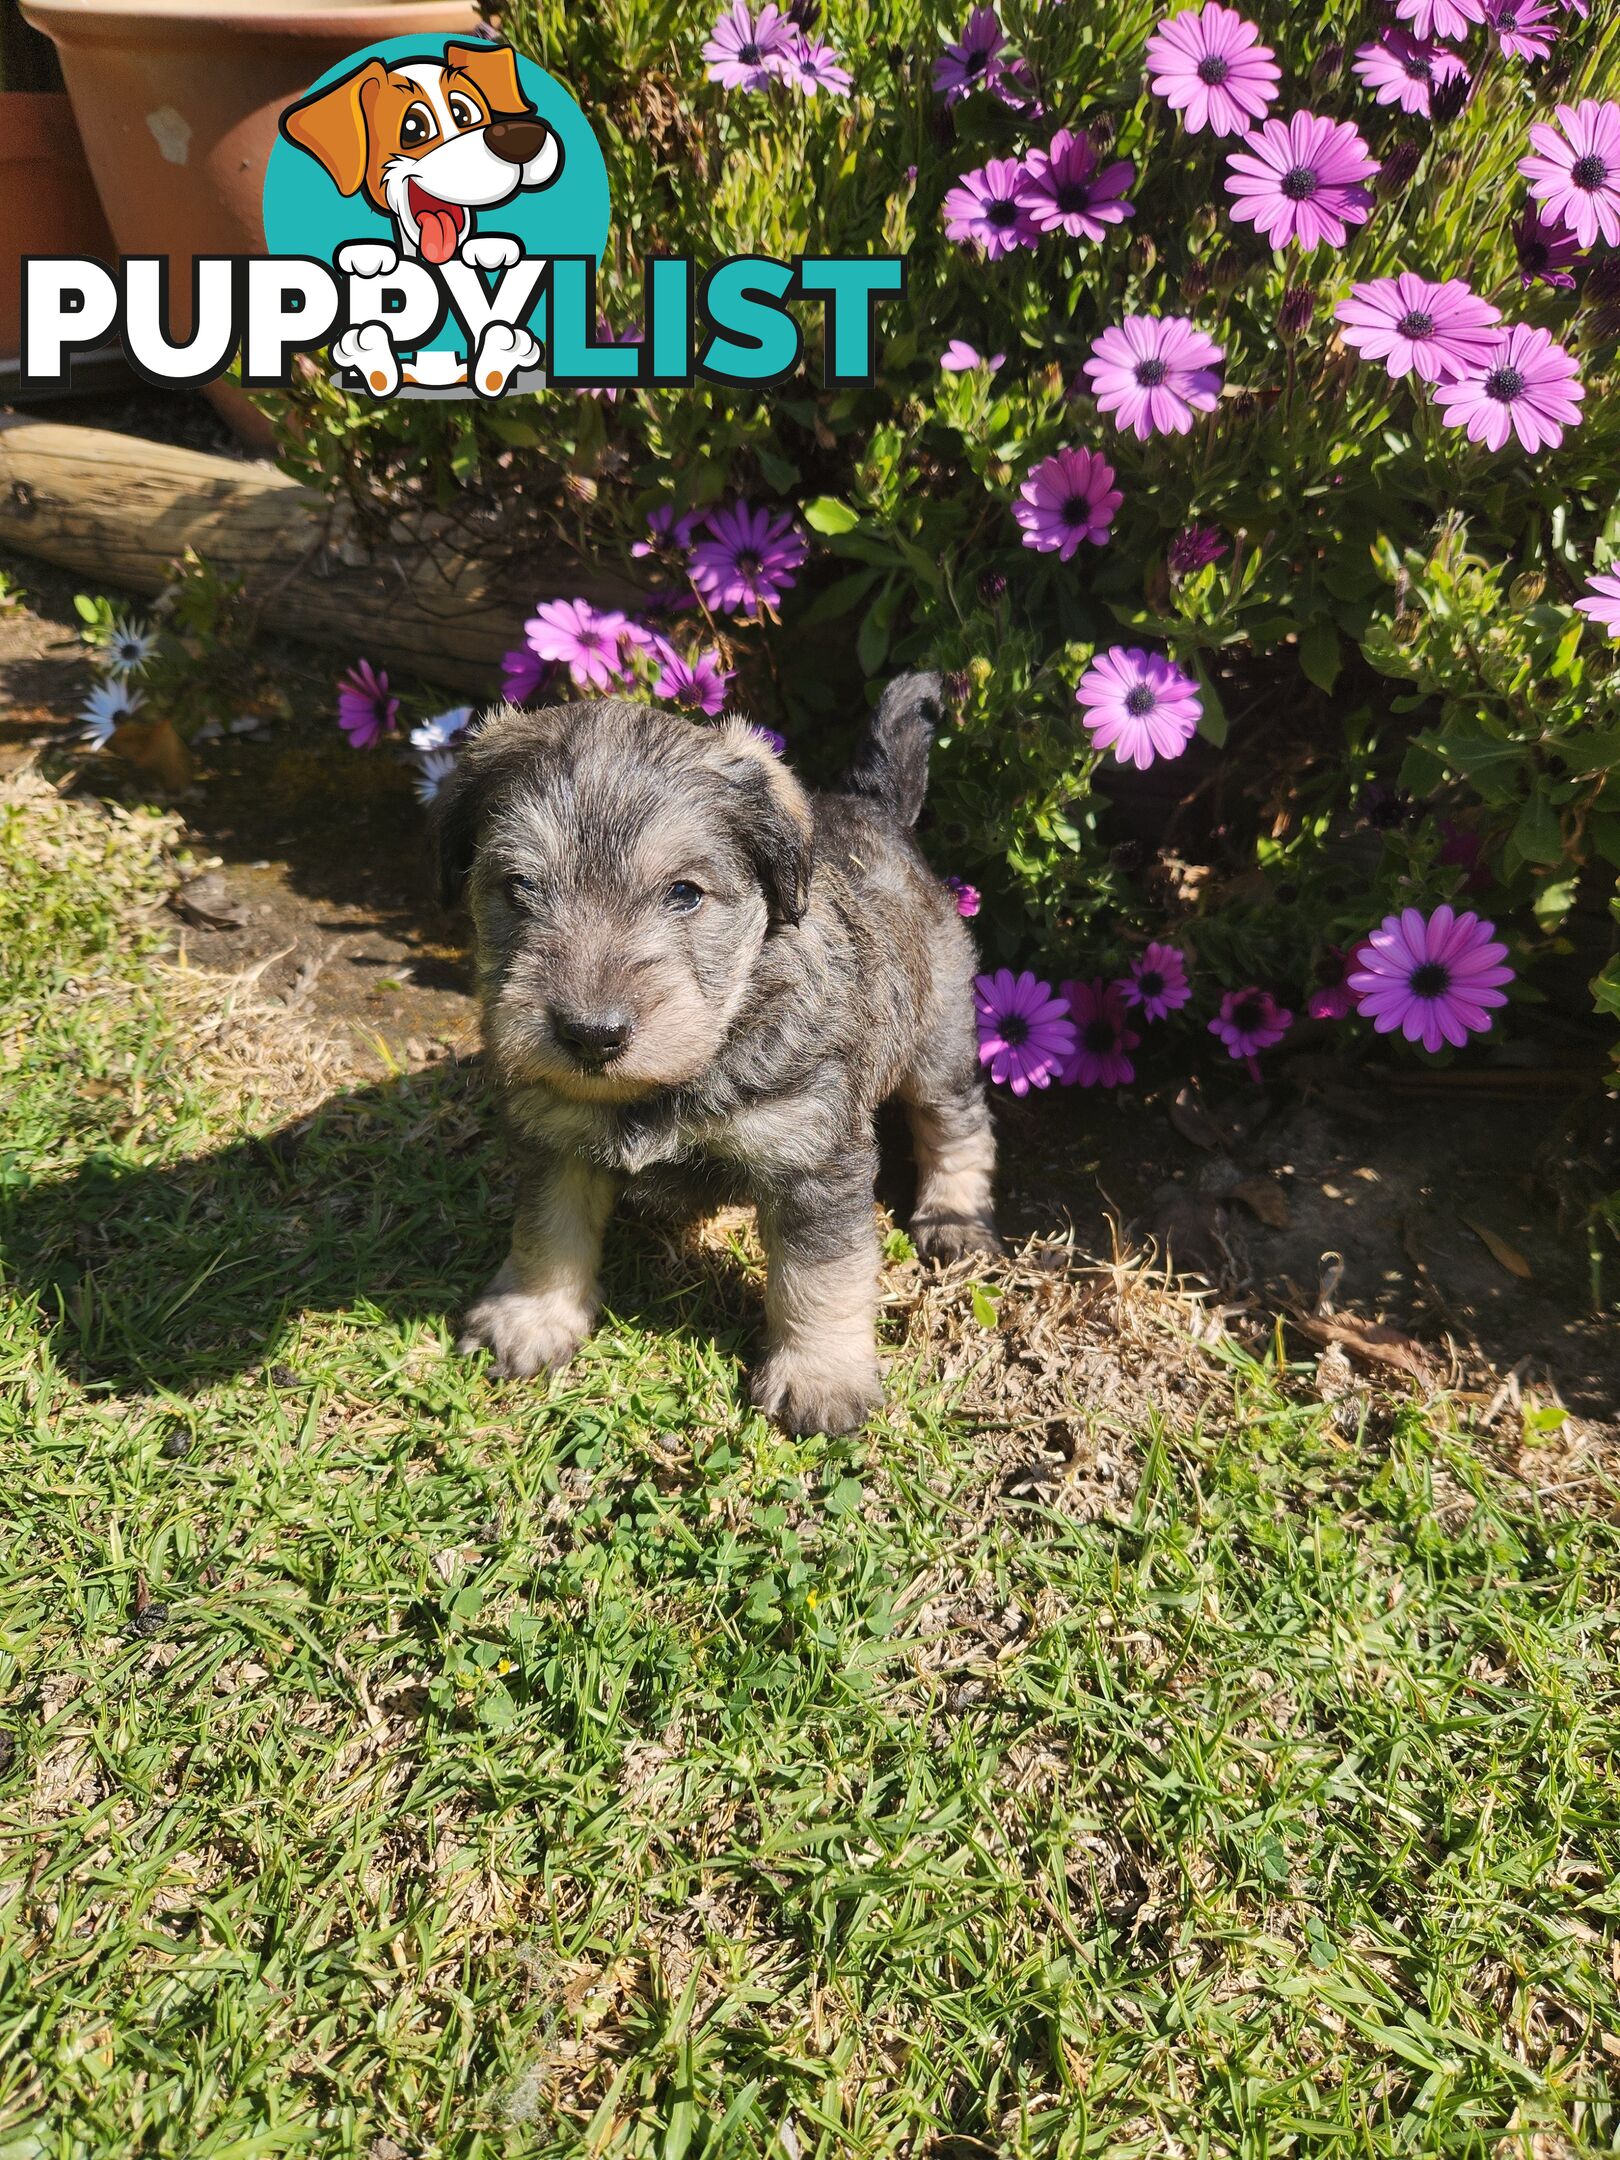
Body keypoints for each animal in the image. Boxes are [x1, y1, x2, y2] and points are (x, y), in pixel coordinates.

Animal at [440, 673, 1002, 1434]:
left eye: (684, 893)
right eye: (519, 887)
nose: (592, 1035)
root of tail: (876, 806)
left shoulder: (812, 1160)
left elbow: (821, 1276)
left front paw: (821, 1376)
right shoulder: (552, 1137)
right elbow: (547, 1232)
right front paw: (530, 1318)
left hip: (937, 1038)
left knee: (958, 1123)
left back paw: (955, 1219)